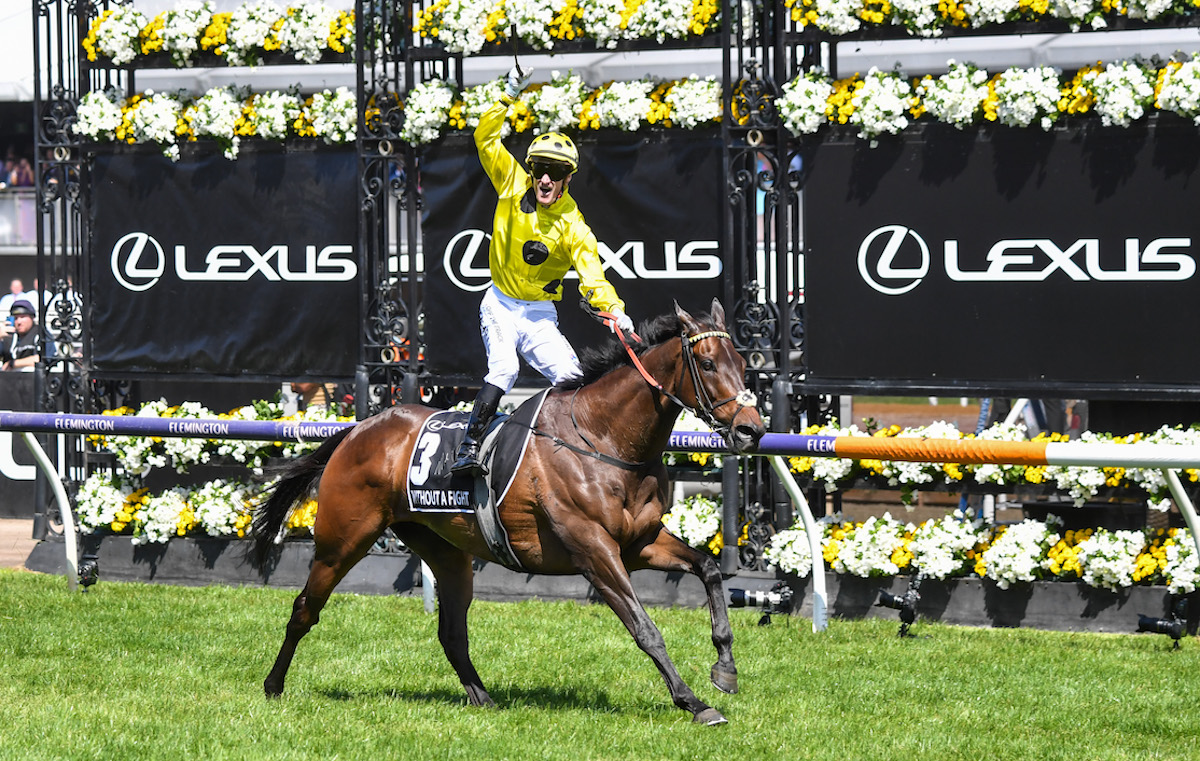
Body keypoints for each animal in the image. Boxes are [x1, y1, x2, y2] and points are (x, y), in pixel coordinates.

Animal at [249, 298, 763, 720]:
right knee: (305, 609)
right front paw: (693, 702)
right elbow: (645, 627)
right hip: (343, 539)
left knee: (452, 632)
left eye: (741, 362)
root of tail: (358, 429)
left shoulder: (640, 543)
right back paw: (273, 685)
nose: (751, 430)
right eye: (706, 362)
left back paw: (482, 697)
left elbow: (709, 569)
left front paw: (725, 668)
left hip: (446, 551)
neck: (603, 437)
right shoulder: (595, 551)